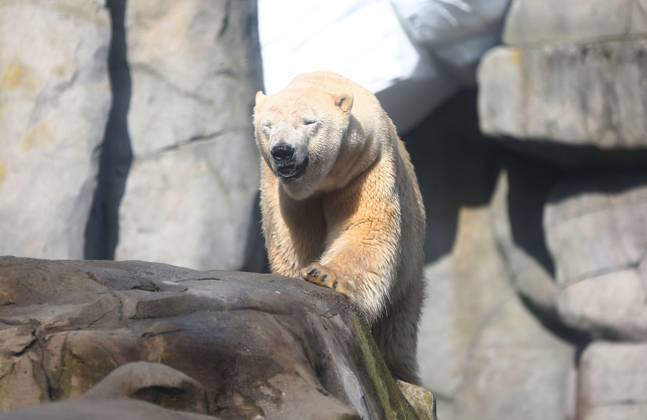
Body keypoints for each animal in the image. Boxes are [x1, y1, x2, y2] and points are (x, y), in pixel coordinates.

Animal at [253, 71, 426, 383]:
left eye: (309, 122)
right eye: (267, 126)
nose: (282, 151)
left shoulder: (368, 164)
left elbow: (365, 227)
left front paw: (323, 275)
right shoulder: (282, 190)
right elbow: (292, 239)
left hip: (410, 272)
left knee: (398, 328)